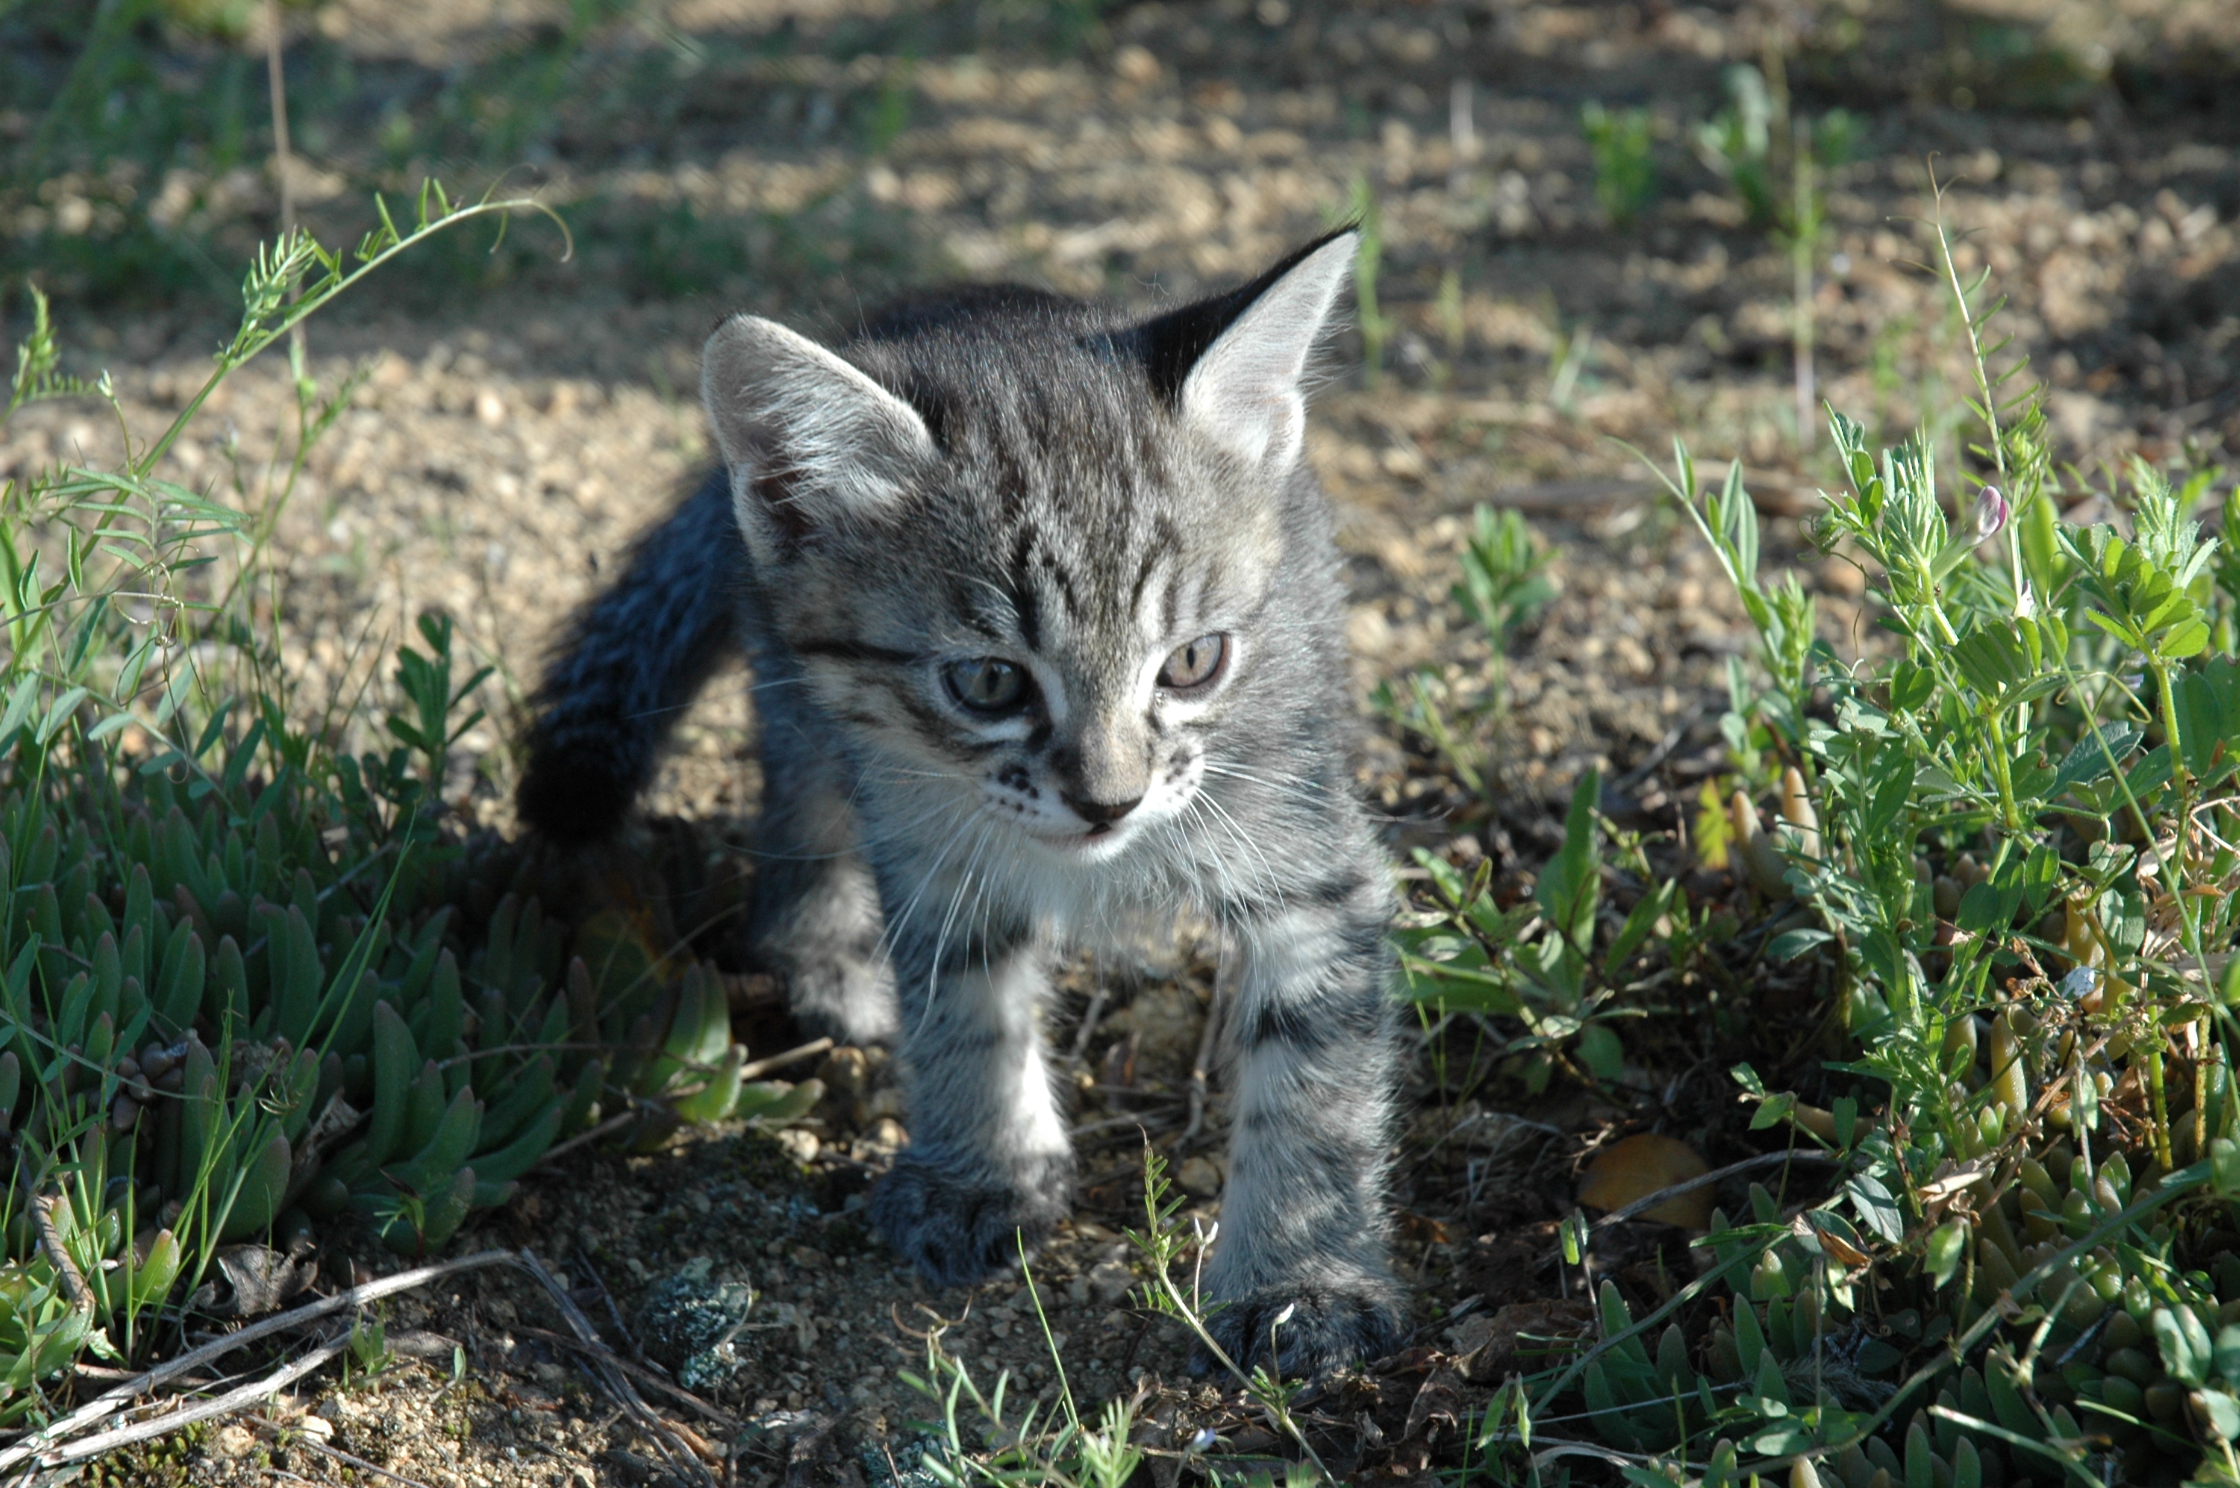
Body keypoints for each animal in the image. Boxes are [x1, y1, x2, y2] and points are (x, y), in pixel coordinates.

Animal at [517, 233, 1406, 1371]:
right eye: (988, 682)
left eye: (1194, 663)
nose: (1109, 802)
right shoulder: (933, 842)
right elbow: (965, 1011)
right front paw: (983, 1173)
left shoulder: (1306, 855)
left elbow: (1315, 1087)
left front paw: (1304, 1280)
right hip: (806, 709)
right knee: (803, 817)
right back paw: (826, 961)